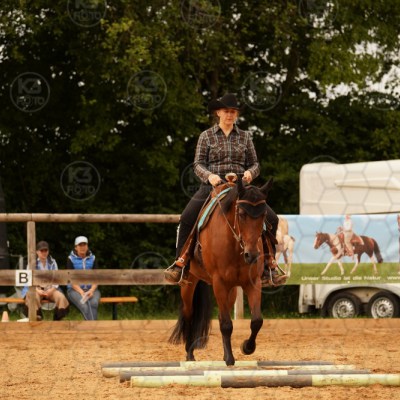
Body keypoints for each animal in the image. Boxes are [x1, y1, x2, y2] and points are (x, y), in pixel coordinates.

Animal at [169, 176, 272, 366]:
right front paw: (230, 359)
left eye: (263, 216)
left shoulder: (252, 282)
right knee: (189, 313)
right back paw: (189, 353)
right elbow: (226, 324)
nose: (252, 255)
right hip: (189, 282)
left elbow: (256, 321)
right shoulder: (219, 282)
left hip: (231, 290)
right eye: (241, 214)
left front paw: (247, 347)